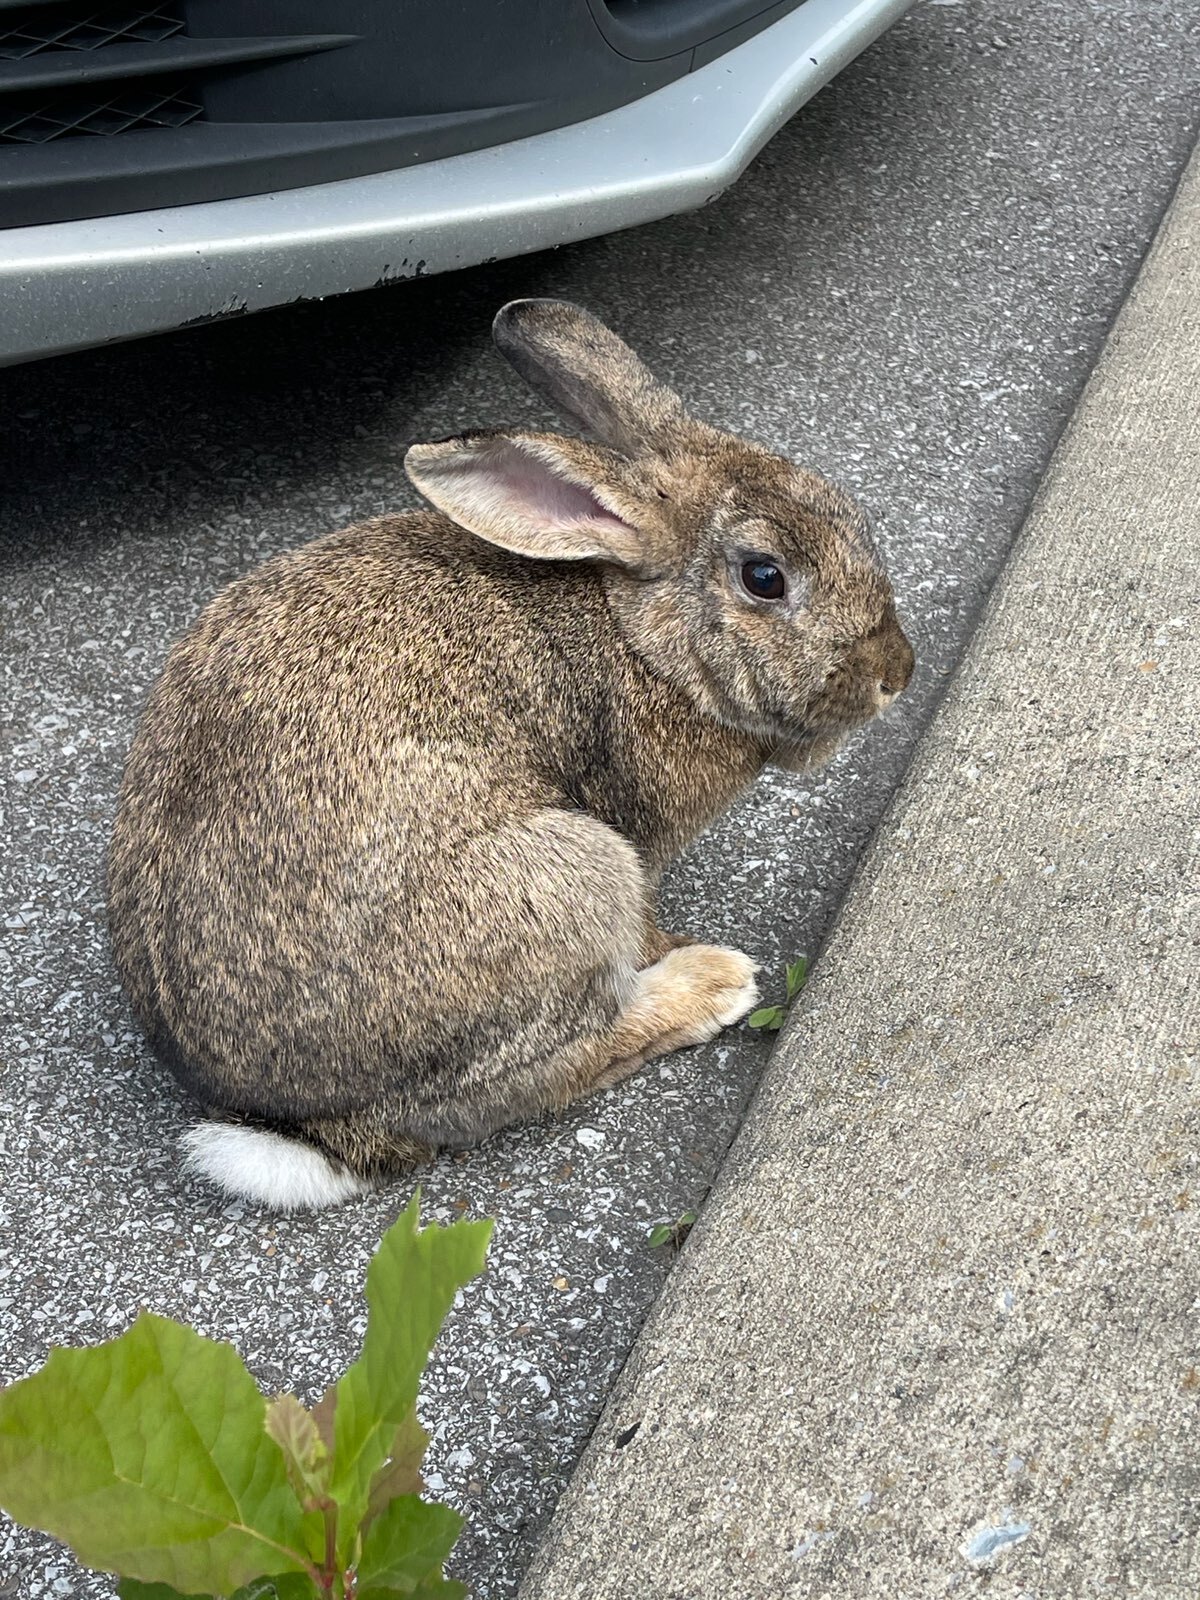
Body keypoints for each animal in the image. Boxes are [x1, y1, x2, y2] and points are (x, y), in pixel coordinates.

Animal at [107, 298, 914, 1212]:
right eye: (764, 577)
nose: (898, 673)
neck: (642, 635)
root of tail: (322, 1126)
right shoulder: (635, 837)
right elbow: (641, 926)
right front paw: (675, 953)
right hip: (572, 873)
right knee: (547, 1070)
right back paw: (711, 983)